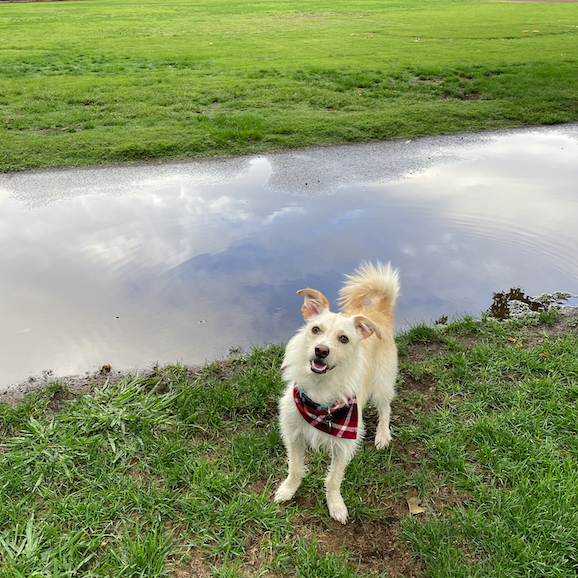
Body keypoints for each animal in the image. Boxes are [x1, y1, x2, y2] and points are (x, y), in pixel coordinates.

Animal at [274, 260, 398, 520]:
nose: (321, 350)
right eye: (315, 329)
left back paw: (382, 435)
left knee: (385, 409)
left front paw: (335, 505)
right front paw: (288, 489)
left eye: (343, 338)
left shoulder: (344, 446)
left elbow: (334, 479)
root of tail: (377, 312)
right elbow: (295, 467)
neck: (320, 390)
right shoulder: (292, 434)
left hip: (382, 382)